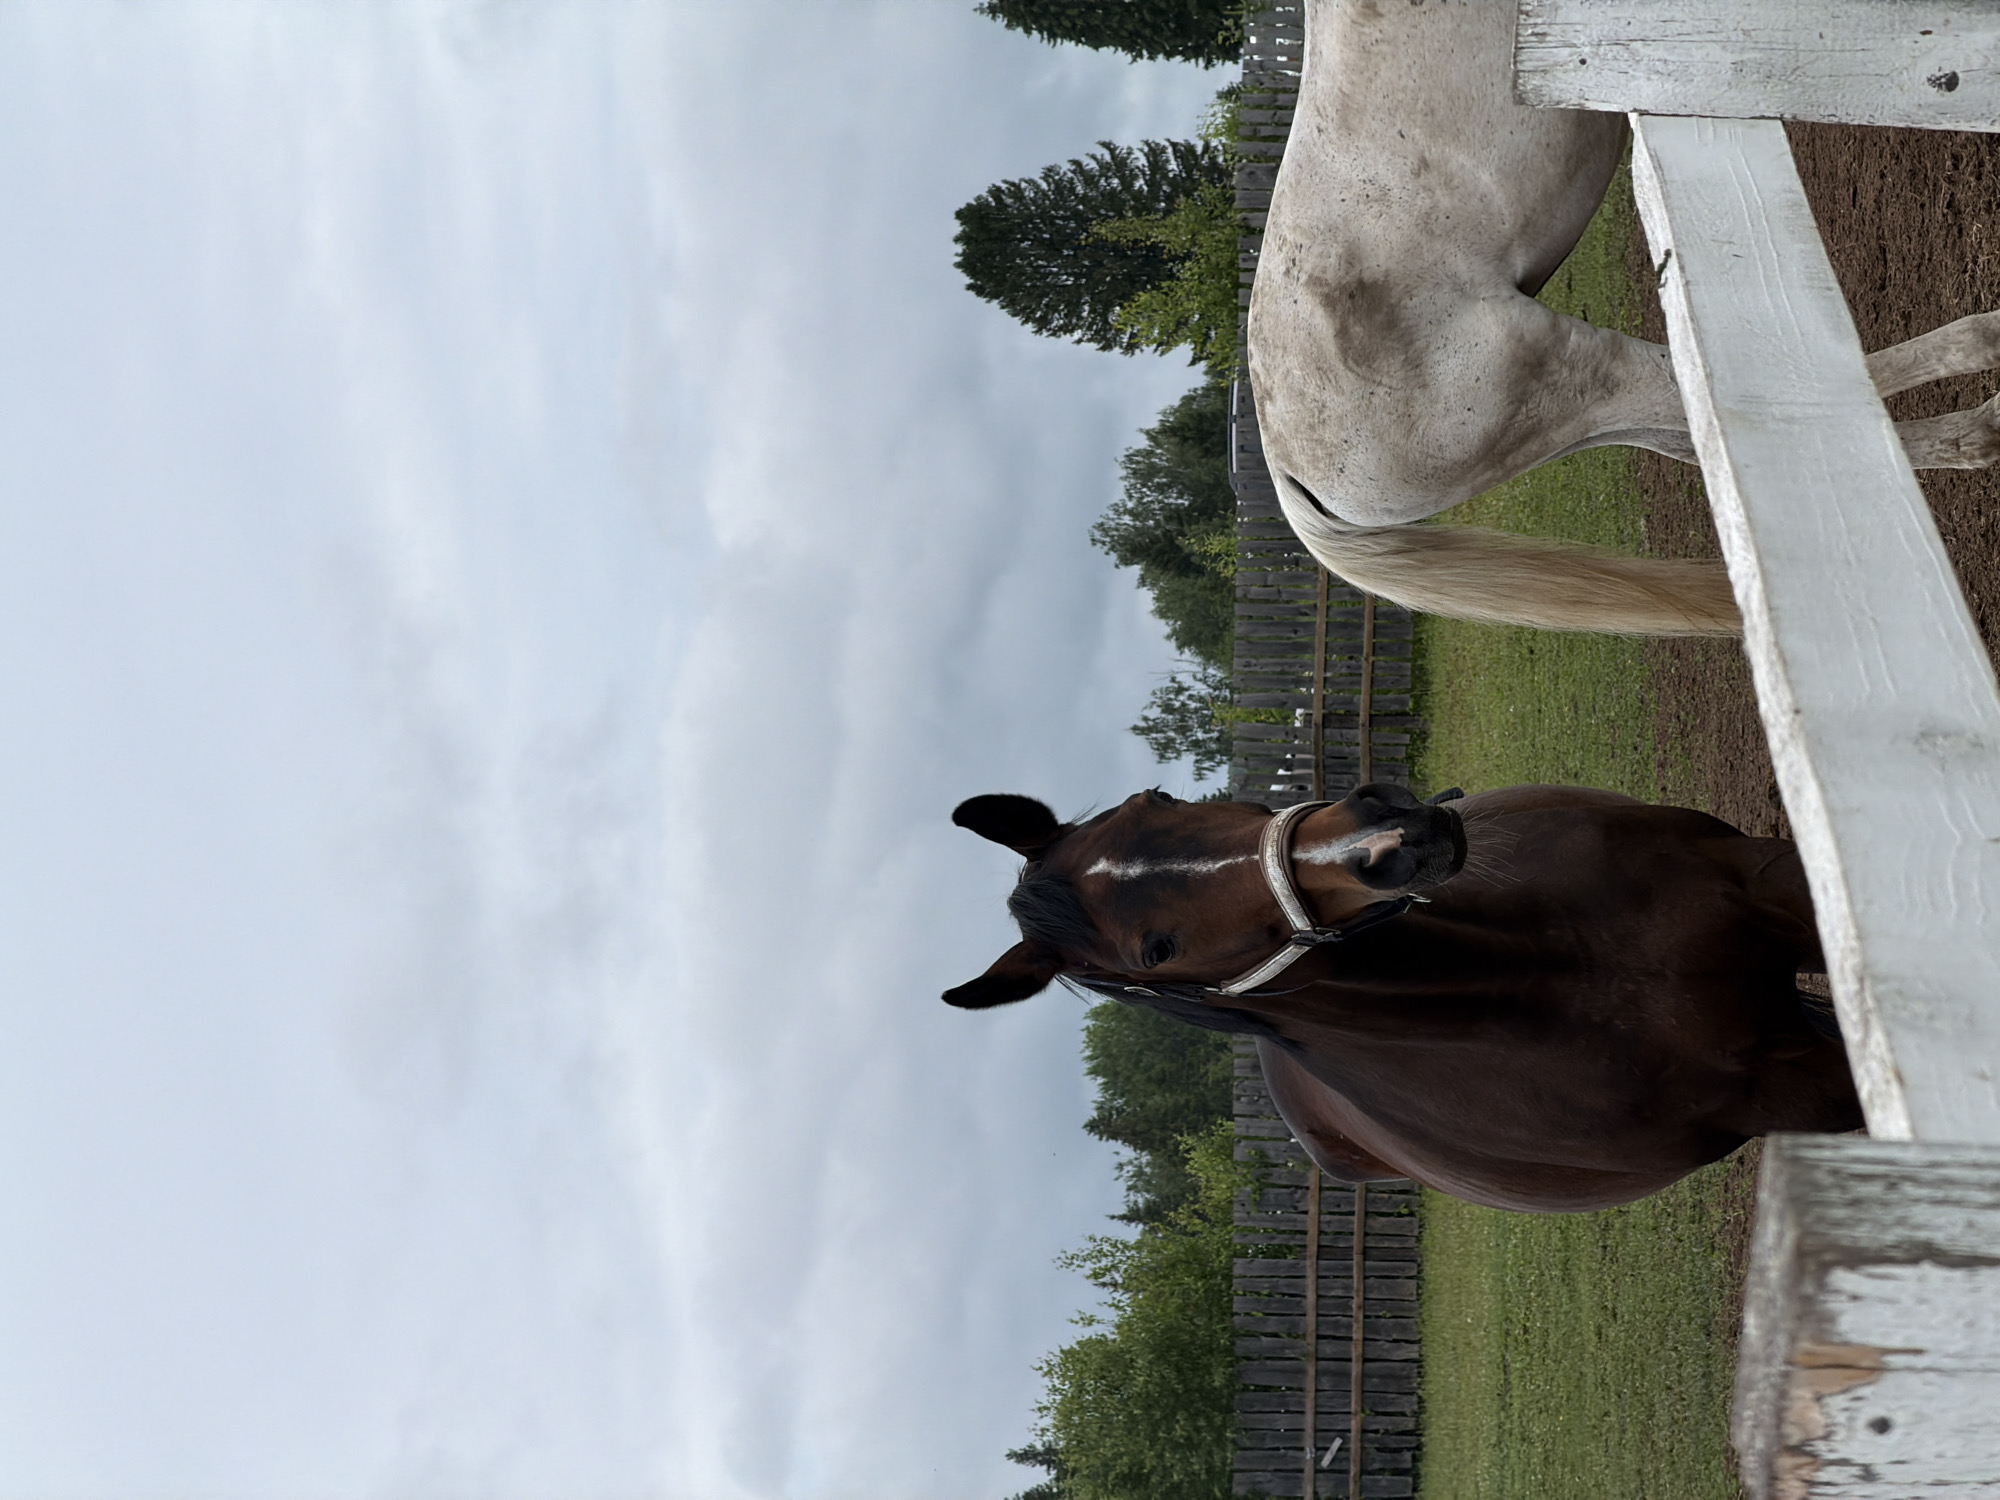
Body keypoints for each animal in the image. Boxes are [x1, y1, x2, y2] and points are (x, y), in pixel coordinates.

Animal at [943, 782, 1861, 1212]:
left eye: (1155, 799)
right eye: (1154, 951)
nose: (1389, 835)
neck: (1557, 968)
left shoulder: (1771, 881)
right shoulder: (1795, 1095)